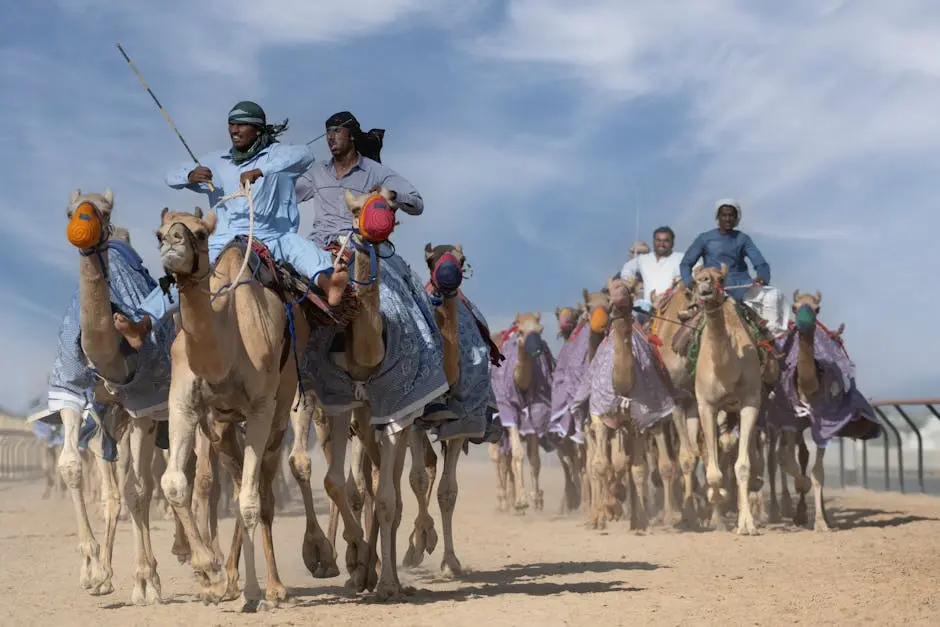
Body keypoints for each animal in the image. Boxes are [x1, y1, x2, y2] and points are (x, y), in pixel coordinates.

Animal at [488, 312, 556, 512]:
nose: (537, 350)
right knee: (497, 456)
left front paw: (537, 500)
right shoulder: (509, 410)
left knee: (506, 459)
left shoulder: (535, 412)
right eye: (520, 331)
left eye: (540, 330)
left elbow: (534, 459)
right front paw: (522, 501)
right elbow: (518, 454)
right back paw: (503, 500)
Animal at [688, 264, 768, 536]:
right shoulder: (706, 405)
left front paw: (747, 524)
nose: (705, 286)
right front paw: (717, 495)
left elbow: (742, 466)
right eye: (695, 279)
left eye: (720, 279)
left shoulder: (751, 403)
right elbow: (713, 471)